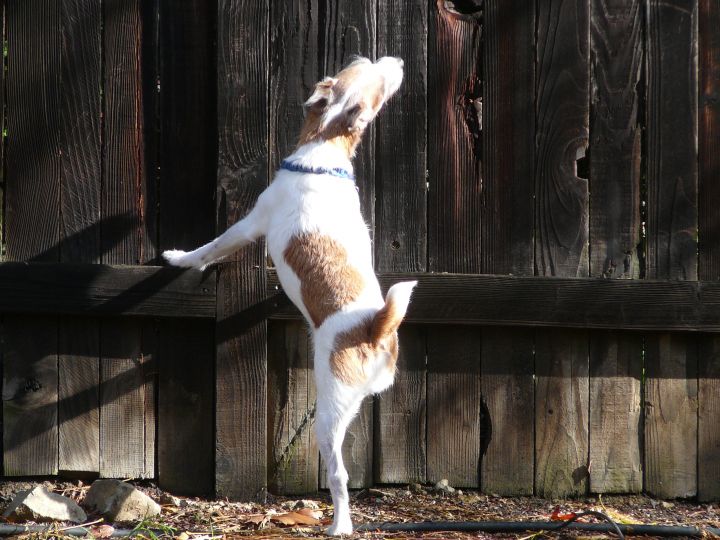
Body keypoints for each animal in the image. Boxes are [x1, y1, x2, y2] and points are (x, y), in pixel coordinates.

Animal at [160, 57, 414, 532]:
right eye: (366, 65)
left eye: (378, 79)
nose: (398, 61)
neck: (325, 150)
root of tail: (375, 327)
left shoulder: (252, 223)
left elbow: (214, 246)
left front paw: (181, 258)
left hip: (329, 414)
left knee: (338, 476)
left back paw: (339, 526)